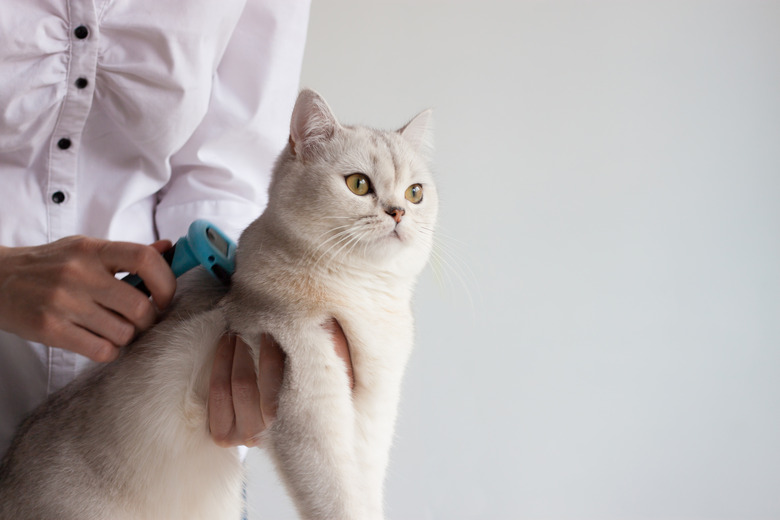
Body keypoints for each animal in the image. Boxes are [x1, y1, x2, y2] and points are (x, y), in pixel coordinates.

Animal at [0, 90, 438, 520]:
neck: (363, 296)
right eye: (358, 184)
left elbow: (365, 492)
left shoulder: (372, 418)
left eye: (415, 192)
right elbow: (339, 499)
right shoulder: (311, 414)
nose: (398, 212)